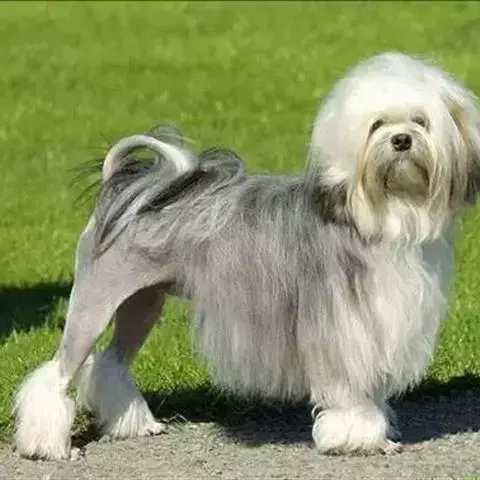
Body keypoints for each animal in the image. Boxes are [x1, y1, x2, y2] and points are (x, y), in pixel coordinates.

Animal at [13, 52, 480, 459]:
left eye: (420, 121)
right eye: (377, 124)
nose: (401, 139)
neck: (382, 213)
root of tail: (125, 190)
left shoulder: (379, 325)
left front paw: (377, 433)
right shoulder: (343, 330)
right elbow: (350, 391)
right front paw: (357, 438)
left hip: (141, 303)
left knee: (110, 362)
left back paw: (135, 425)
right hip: (95, 301)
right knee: (58, 373)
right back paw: (50, 447)